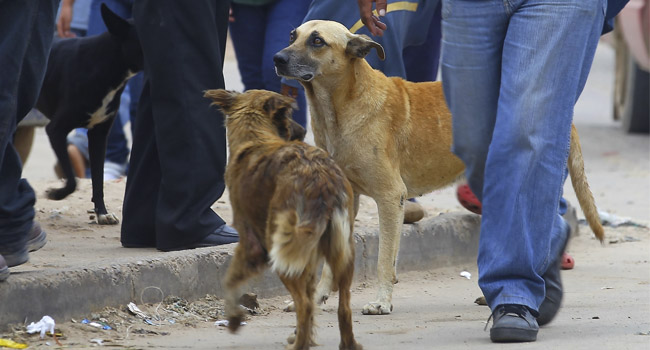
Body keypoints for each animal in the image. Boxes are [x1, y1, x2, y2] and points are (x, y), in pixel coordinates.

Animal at [35, 4, 142, 226]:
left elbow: (98, 180)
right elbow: (73, 181)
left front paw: (102, 212)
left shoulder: (99, 136)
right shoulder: (56, 130)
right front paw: (56, 194)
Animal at [204, 89, 360, 350]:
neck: (255, 138)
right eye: (288, 116)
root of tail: (320, 177)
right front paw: (303, 334)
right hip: (342, 251)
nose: (303, 131)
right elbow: (311, 295)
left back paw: (299, 346)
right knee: (343, 306)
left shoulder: (251, 243)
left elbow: (229, 280)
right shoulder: (308, 256)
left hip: (281, 250)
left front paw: (234, 318)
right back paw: (346, 344)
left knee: (304, 304)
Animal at [272, 19, 604, 316]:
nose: (277, 58)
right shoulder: (343, 199)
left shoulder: (390, 197)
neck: (342, 107)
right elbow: (332, 260)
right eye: (292, 35)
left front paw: (381, 302)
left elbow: (384, 259)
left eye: (317, 41)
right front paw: (317, 297)